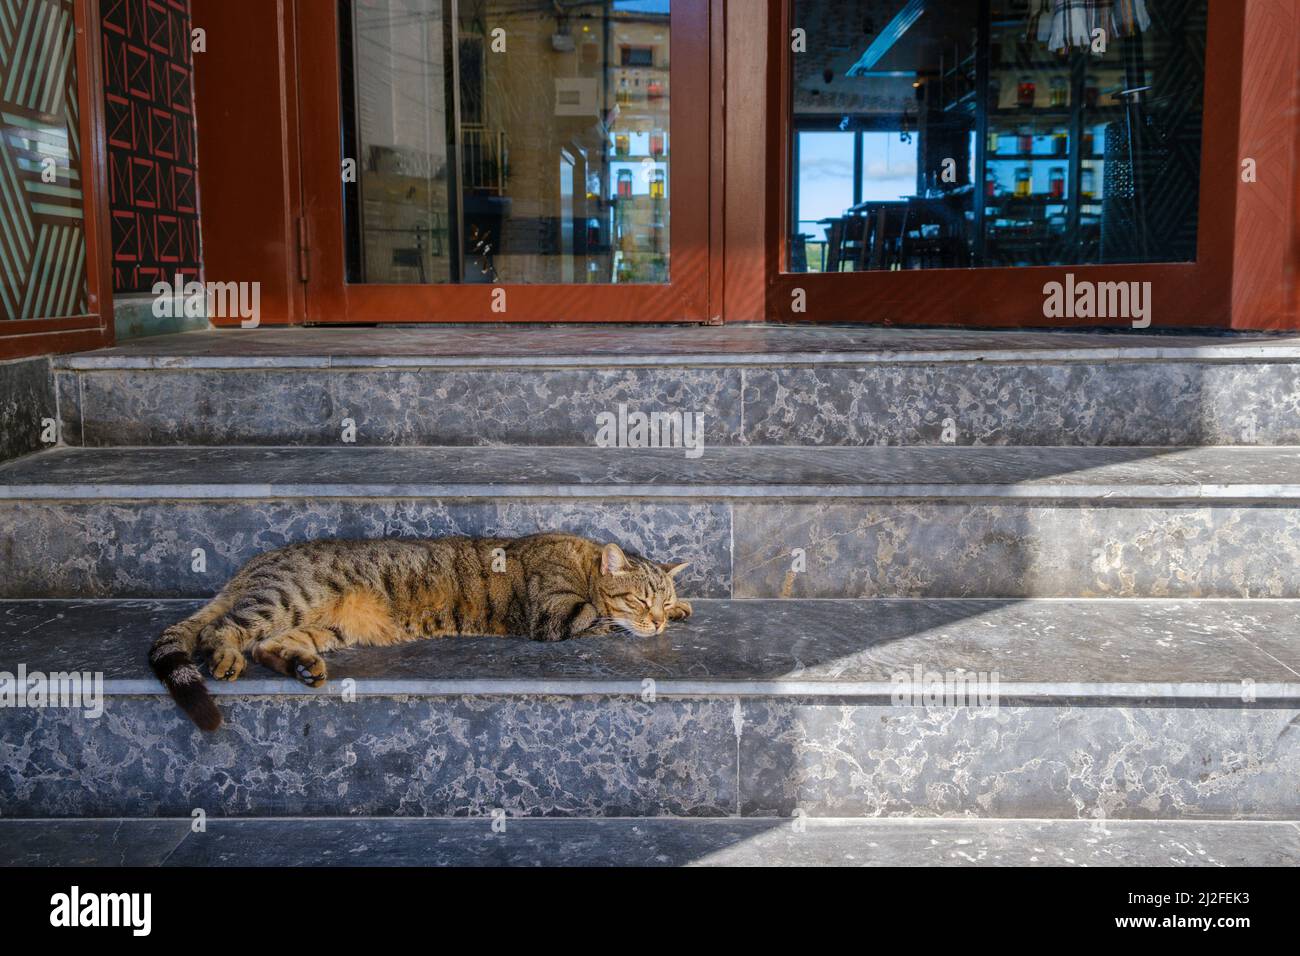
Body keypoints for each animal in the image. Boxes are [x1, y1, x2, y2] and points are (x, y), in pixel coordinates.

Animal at [147, 530, 691, 733]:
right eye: (640, 599)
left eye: (661, 600)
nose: (660, 617)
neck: (581, 559)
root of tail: (253, 564)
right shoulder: (556, 614)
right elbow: (602, 618)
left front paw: (685, 606)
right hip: (289, 598)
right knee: (221, 630)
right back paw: (225, 657)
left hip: (325, 626)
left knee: (269, 644)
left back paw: (302, 667)